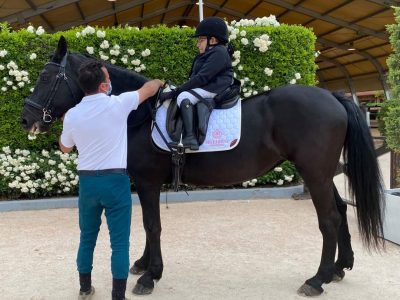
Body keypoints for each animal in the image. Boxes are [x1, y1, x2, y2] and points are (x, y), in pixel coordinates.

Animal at [20, 37, 382, 296]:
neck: (139, 114)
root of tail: (333, 96)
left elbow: (153, 225)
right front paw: (143, 265)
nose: (26, 119)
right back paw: (339, 268)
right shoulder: (145, 183)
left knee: (329, 218)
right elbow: (149, 226)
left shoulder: (148, 181)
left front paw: (150, 276)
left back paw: (317, 279)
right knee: (339, 210)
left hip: (315, 173)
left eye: (47, 77)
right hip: (321, 172)